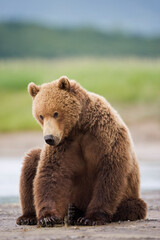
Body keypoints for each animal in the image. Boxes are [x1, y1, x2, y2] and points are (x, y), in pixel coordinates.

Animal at [16, 76, 147, 226]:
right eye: (41, 115)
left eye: (56, 113)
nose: (49, 138)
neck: (79, 126)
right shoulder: (64, 145)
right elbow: (50, 174)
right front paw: (48, 217)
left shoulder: (105, 136)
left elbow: (109, 174)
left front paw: (91, 218)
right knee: (32, 160)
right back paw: (30, 216)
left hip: (130, 195)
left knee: (133, 206)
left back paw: (75, 212)